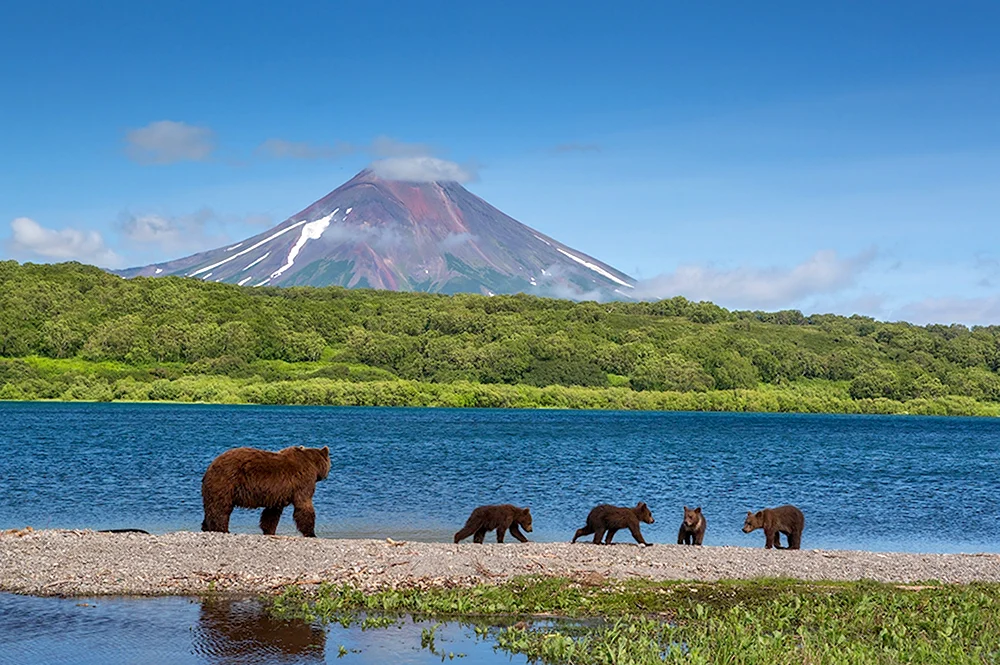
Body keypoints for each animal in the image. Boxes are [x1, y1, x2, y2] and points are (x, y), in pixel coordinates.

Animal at [201, 444, 330, 536]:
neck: (313, 464)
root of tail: (210, 466)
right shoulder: (303, 481)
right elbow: (304, 505)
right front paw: (311, 533)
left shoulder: (277, 493)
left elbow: (272, 513)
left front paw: (269, 530)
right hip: (226, 482)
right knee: (221, 508)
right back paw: (222, 529)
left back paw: (206, 527)